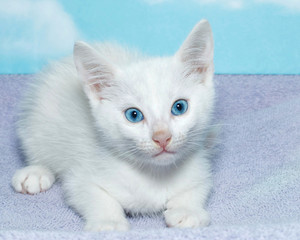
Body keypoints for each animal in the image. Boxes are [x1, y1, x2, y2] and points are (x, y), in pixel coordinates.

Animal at [11, 19, 213, 232]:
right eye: (134, 115)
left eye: (179, 107)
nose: (162, 137)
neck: (154, 172)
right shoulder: (81, 175)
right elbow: (92, 194)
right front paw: (109, 222)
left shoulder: (200, 167)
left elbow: (197, 188)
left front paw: (188, 211)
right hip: (36, 122)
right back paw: (35, 173)